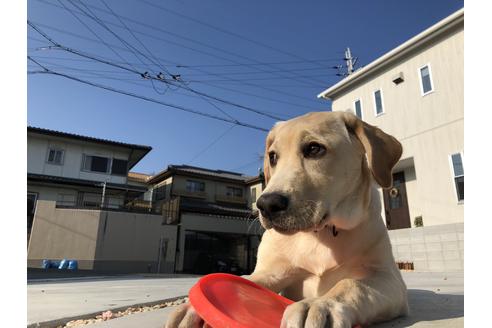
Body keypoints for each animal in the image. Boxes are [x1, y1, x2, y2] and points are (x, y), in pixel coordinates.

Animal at [167, 111, 410, 326]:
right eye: (273, 157)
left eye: (314, 149)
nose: (266, 205)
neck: (321, 234)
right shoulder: (271, 272)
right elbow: (246, 280)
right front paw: (191, 307)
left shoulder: (389, 278)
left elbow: (351, 284)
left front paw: (319, 304)